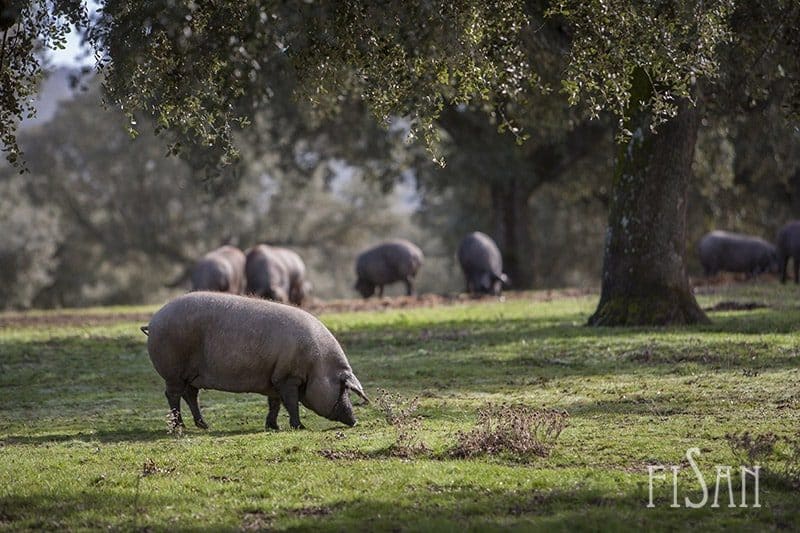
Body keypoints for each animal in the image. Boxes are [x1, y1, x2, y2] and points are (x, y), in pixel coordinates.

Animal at [142, 290, 368, 428]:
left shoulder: (275, 379)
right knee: (172, 395)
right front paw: (300, 427)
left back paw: (204, 425)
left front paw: (274, 427)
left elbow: (275, 403)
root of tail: (153, 321)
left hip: (191, 375)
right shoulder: (288, 377)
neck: (317, 365)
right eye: (344, 388)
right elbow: (291, 403)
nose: (355, 421)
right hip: (173, 371)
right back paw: (179, 426)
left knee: (190, 395)